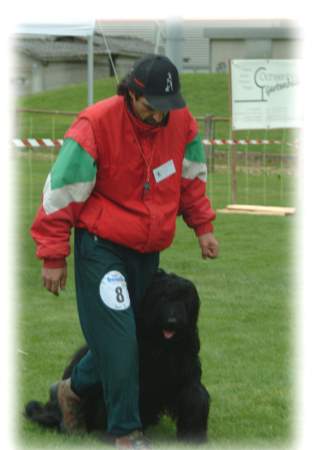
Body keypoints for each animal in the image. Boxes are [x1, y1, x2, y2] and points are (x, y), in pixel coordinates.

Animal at [24, 270, 210, 442]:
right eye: (162, 297)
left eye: (184, 299)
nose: (172, 322)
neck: (161, 346)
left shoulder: (187, 376)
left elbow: (195, 398)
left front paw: (193, 437)